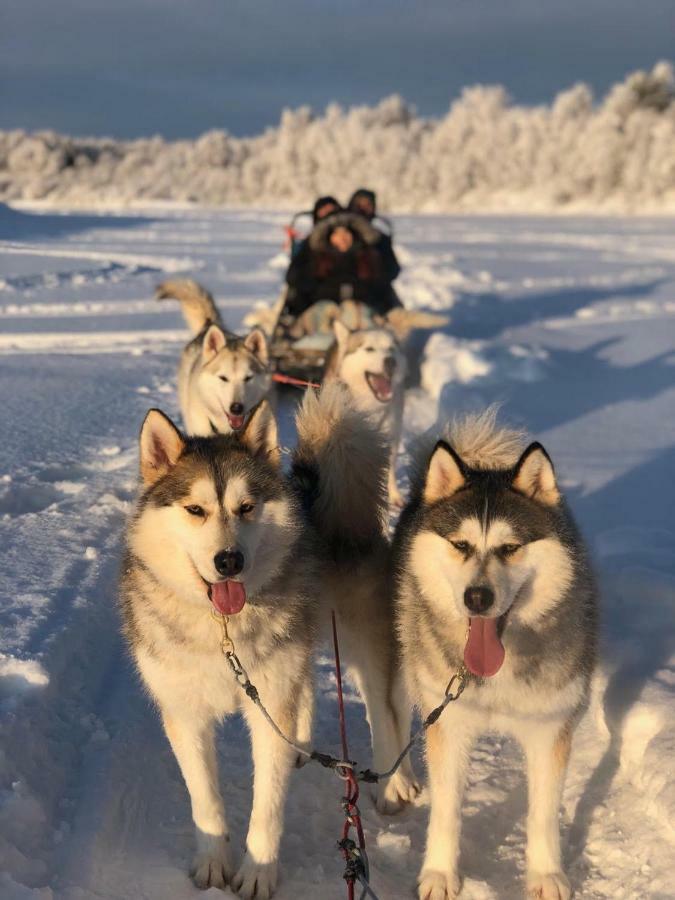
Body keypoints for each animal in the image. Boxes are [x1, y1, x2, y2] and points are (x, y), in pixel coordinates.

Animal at [396, 410, 596, 900]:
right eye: (461, 545)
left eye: (509, 548)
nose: (478, 597)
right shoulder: (447, 725)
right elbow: (447, 808)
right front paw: (439, 873)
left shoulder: (550, 729)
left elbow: (542, 814)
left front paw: (546, 875)